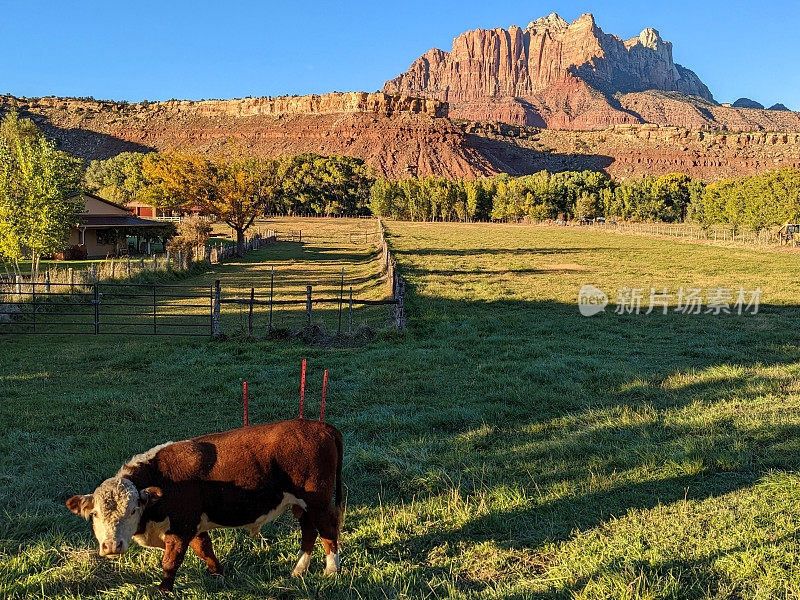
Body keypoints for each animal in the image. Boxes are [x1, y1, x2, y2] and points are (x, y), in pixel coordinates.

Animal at [67, 420, 342, 592]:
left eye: (133, 509)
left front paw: (163, 589)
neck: (162, 481)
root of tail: (320, 426)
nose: (112, 546)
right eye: (95, 514)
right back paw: (299, 570)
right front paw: (218, 574)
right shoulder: (195, 525)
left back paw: (331, 570)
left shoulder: (181, 527)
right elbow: (205, 550)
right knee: (309, 531)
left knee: (328, 531)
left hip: (317, 502)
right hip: (302, 505)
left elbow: (171, 561)